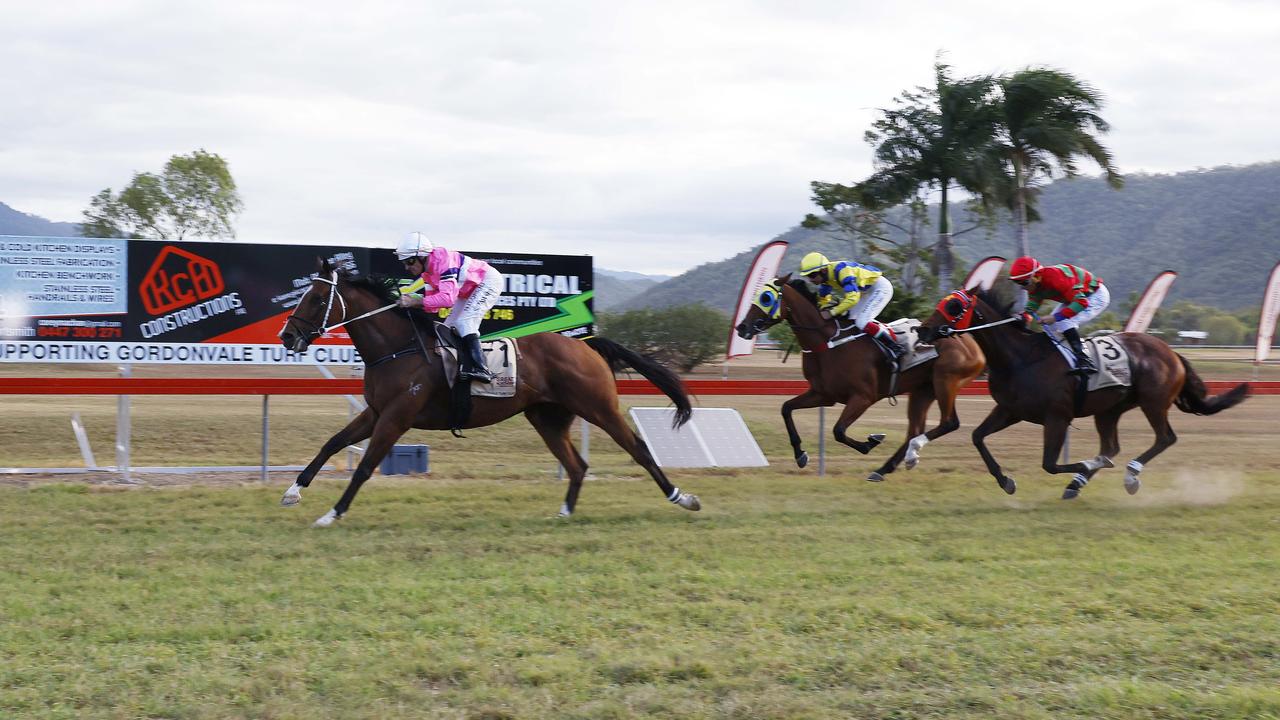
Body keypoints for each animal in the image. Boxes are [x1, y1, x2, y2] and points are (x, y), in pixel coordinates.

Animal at [277, 257, 701, 520]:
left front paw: (332, 513)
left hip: (599, 407)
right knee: (577, 465)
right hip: (547, 417)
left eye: (317, 298)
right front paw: (293, 491)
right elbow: (332, 443)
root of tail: (585, 344)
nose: (287, 336)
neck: (399, 347)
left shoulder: (397, 417)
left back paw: (683, 497)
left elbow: (365, 466)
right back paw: (564, 513)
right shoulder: (376, 412)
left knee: (638, 449)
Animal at [737, 271, 983, 479]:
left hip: (945, 383)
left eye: (766, 297)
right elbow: (786, 408)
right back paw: (888, 468)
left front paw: (869, 442)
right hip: (923, 390)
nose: (742, 327)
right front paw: (800, 454)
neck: (827, 344)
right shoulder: (823, 394)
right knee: (915, 430)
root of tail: (968, 338)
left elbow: (838, 430)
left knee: (944, 423)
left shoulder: (863, 397)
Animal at [921, 285, 1249, 491]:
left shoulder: (1057, 417)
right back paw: (1080, 482)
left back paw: (1129, 475)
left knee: (1164, 438)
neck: (1021, 358)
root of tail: (1172, 352)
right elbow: (977, 437)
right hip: (1109, 409)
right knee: (1111, 446)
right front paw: (1006, 481)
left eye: (954, 305)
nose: (922, 330)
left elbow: (1050, 464)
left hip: (1153, 402)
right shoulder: (1010, 410)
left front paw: (1082, 468)